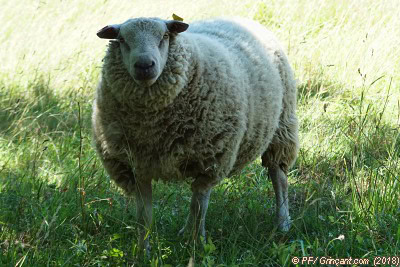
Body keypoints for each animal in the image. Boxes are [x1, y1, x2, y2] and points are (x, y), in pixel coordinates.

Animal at [94, 16, 298, 255]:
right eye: (122, 39)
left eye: (164, 36)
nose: (144, 66)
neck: (151, 126)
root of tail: (239, 18)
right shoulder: (135, 167)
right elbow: (144, 214)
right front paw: (143, 252)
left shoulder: (211, 160)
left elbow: (200, 203)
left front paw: (196, 243)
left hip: (282, 127)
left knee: (279, 177)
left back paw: (283, 223)